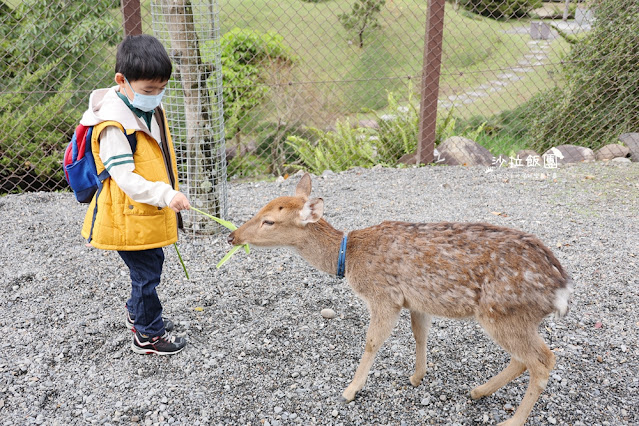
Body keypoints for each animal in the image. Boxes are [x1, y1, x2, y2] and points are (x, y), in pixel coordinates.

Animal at [229, 173, 576, 426]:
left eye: (269, 221)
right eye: (260, 209)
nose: (232, 235)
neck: (348, 258)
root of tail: (561, 288)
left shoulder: (384, 296)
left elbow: (372, 341)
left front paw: (350, 391)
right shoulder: (417, 301)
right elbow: (420, 335)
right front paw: (417, 377)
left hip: (502, 313)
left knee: (544, 360)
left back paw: (511, 421)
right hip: (514, 318)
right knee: (525, 358)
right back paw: (478, 391)